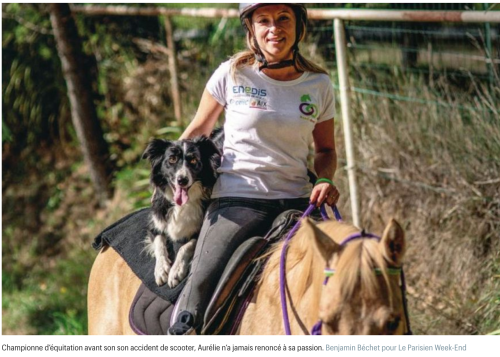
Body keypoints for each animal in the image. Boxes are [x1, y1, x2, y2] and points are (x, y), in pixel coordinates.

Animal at [141, 134, 219, 286]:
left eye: (194, 160)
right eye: (172, 159)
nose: (182, 180)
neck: (181, 205)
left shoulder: (199, 229)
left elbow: (185, 246)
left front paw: (176, 271)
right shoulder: (154, 225)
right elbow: (159, 242)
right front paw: (161, 270)